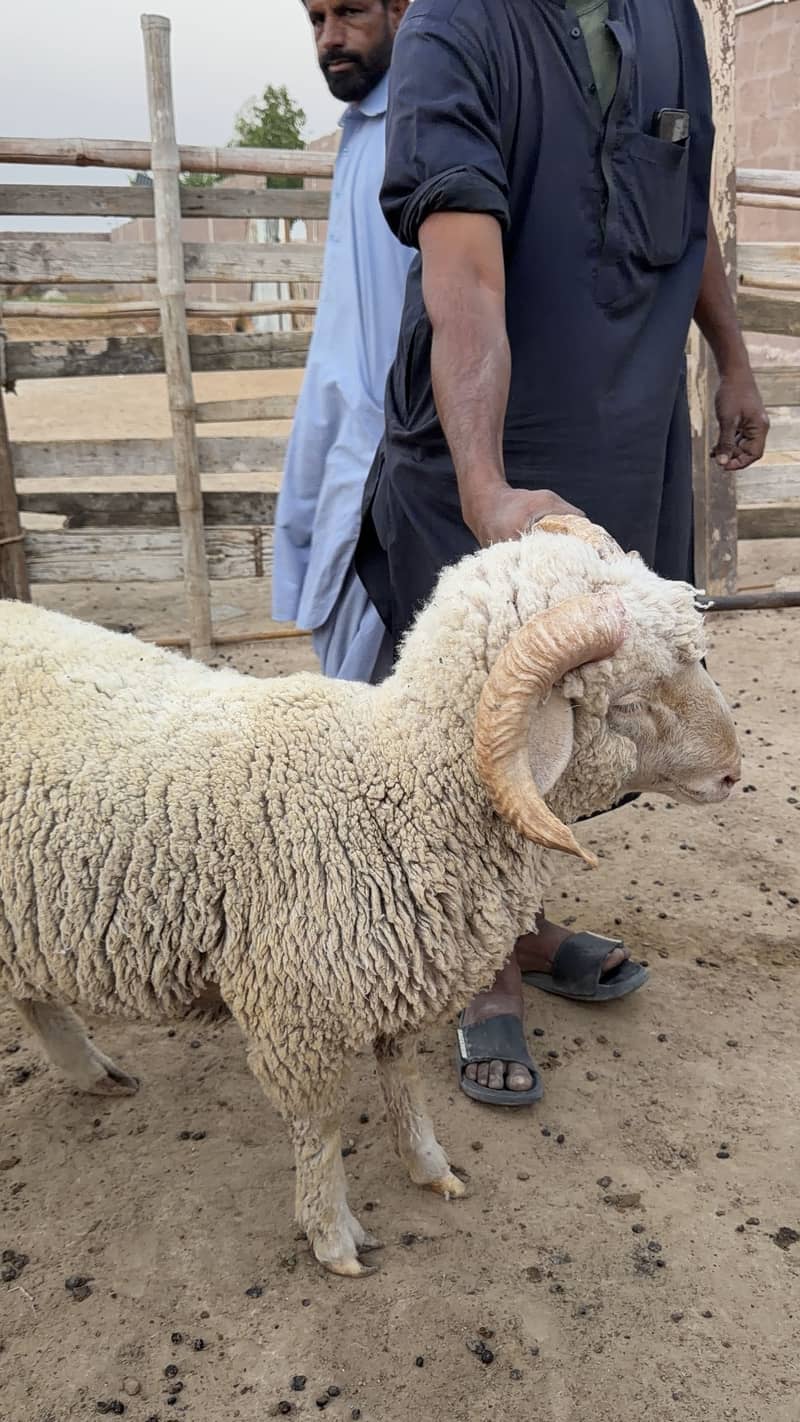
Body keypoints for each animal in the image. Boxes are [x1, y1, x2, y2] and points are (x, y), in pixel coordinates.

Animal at [0, 516, 740, 1276]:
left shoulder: (394, 981)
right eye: (629, 701)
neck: (389, 788)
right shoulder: (300, 1013)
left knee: (31, 994)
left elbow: (404, 1081)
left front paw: (430, 1167)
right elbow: (322, 1129)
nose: (733, 772)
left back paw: (93, 1074)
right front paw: (333, 1235)